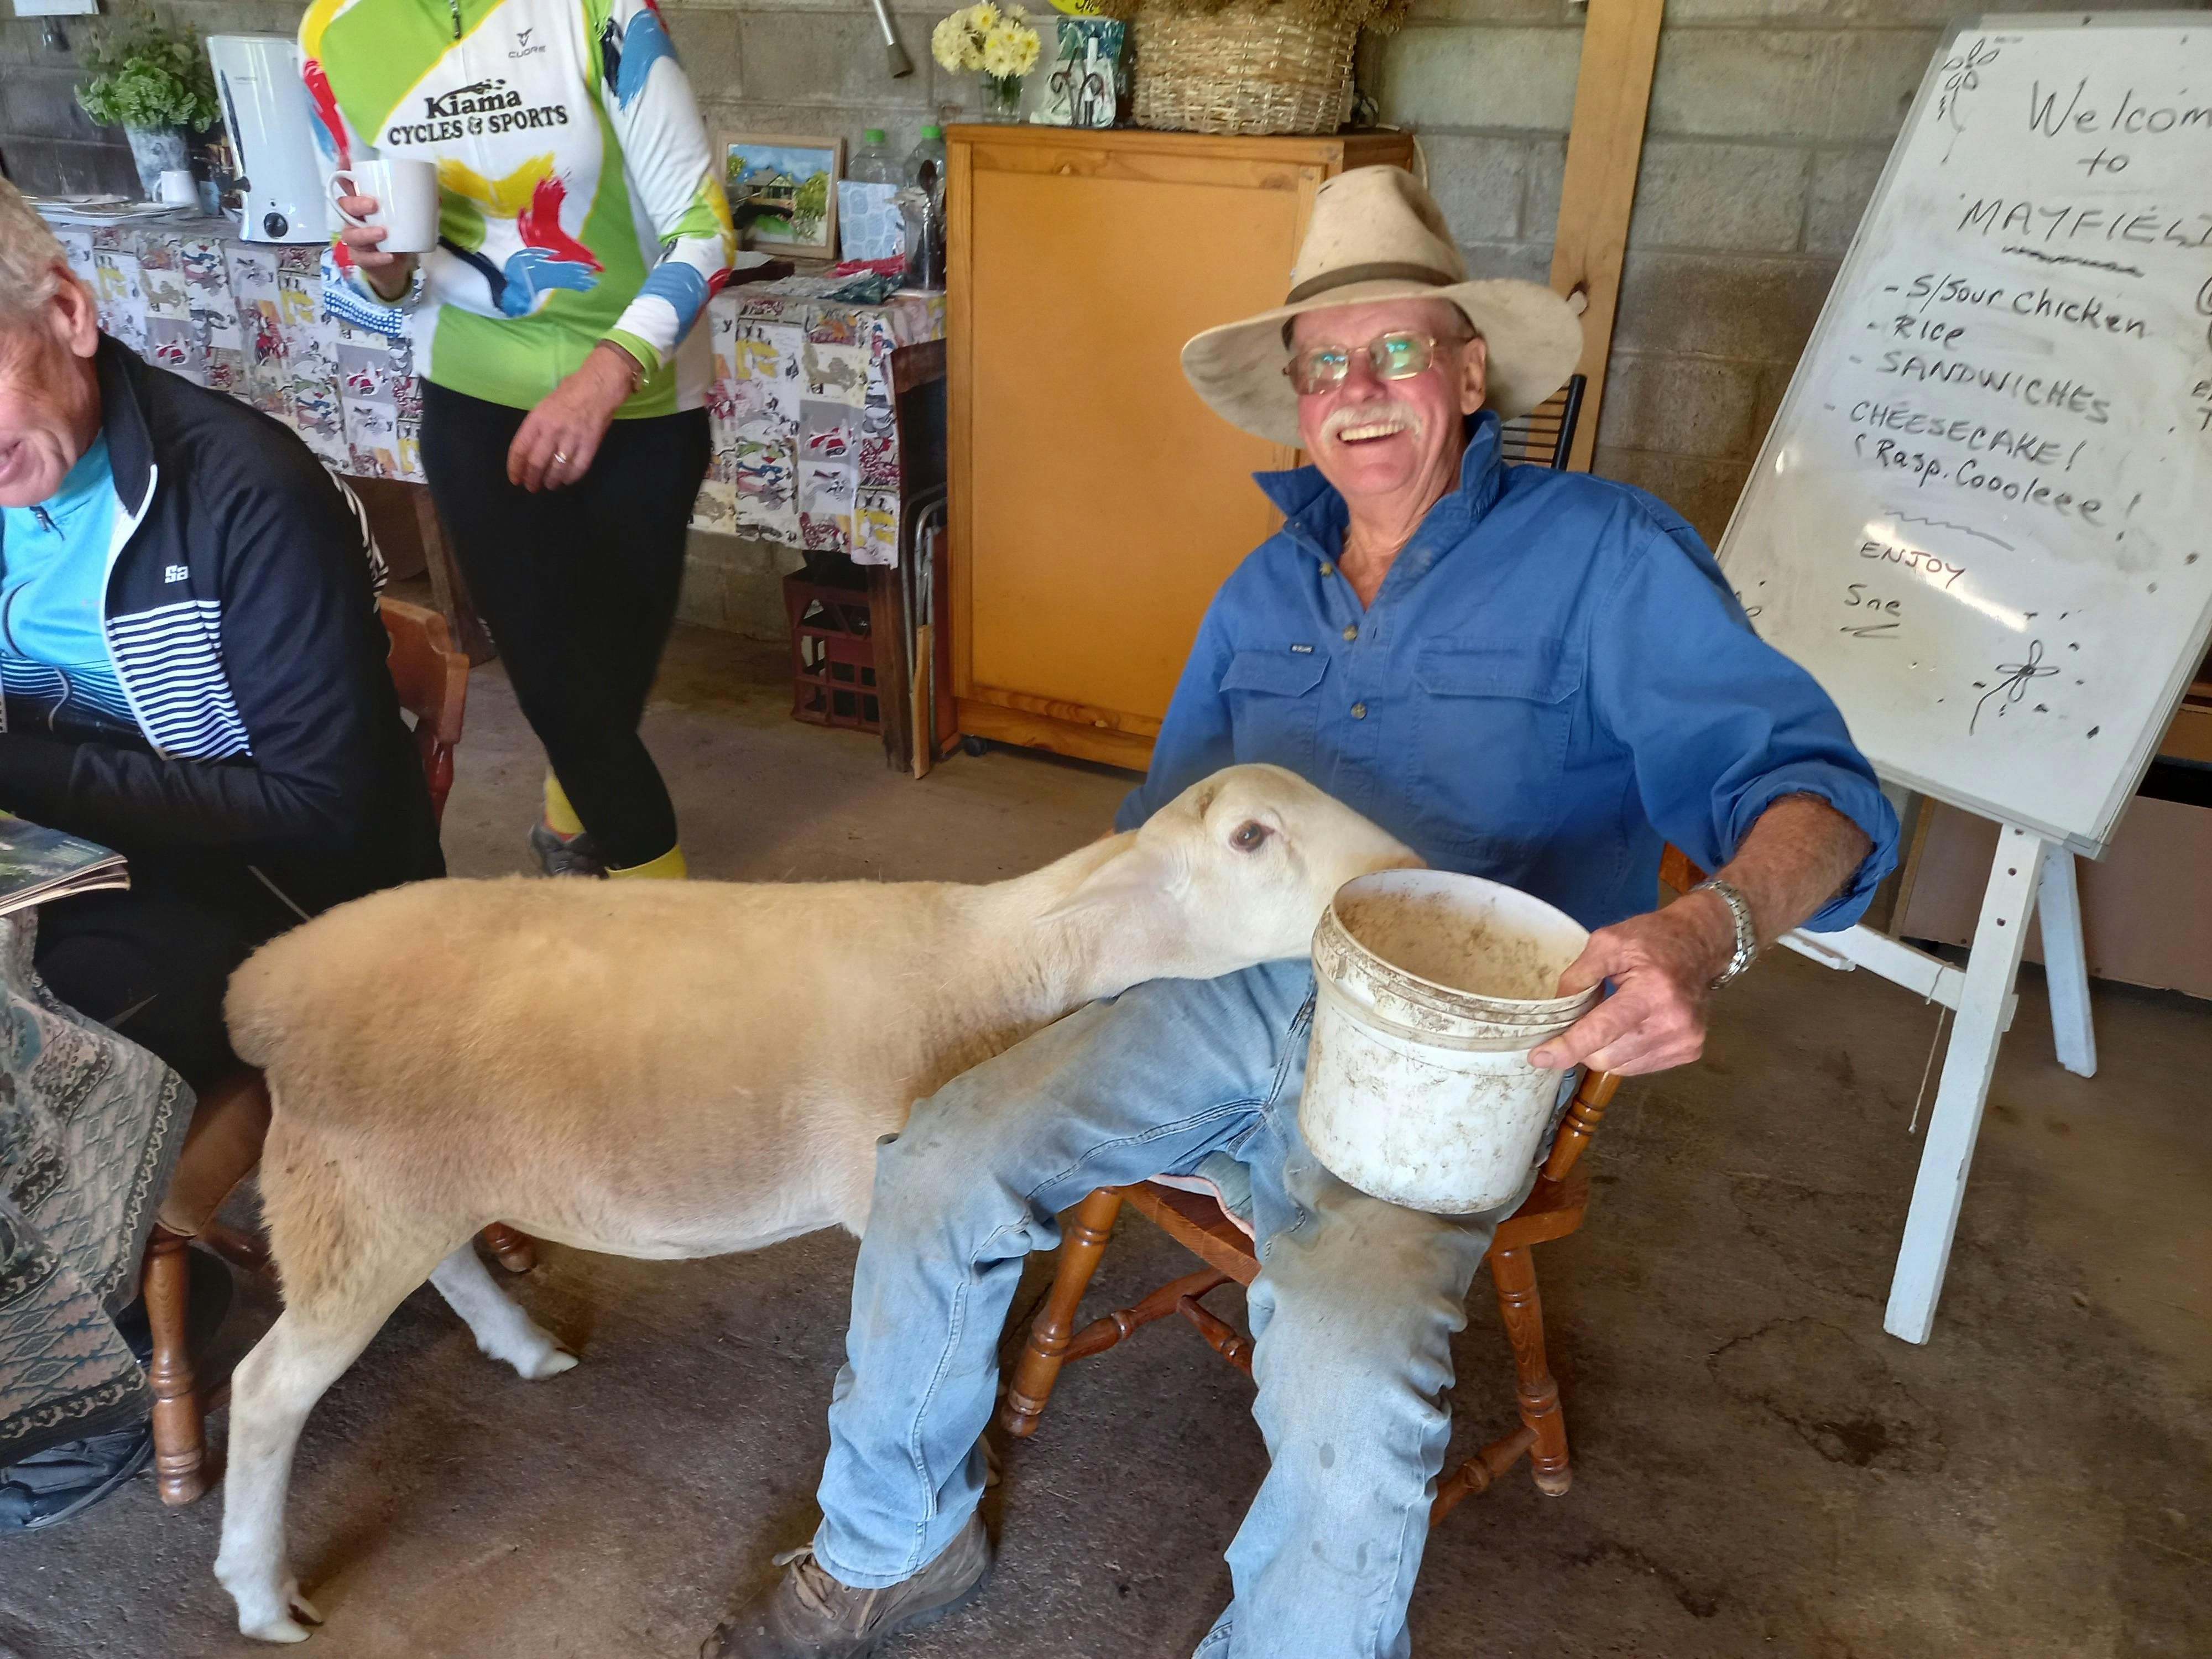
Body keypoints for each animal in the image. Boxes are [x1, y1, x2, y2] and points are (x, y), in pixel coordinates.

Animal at [211, 763, 1418, 1642]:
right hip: (353, 1194)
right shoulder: (878, 1182)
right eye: (1251, 838)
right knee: (266, 1394)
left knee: (453, 1268)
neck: (990, 963)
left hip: (411, 1187)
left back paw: (522, 1347)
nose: (1405, 869)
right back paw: (262, 1597)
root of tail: (259, 990)